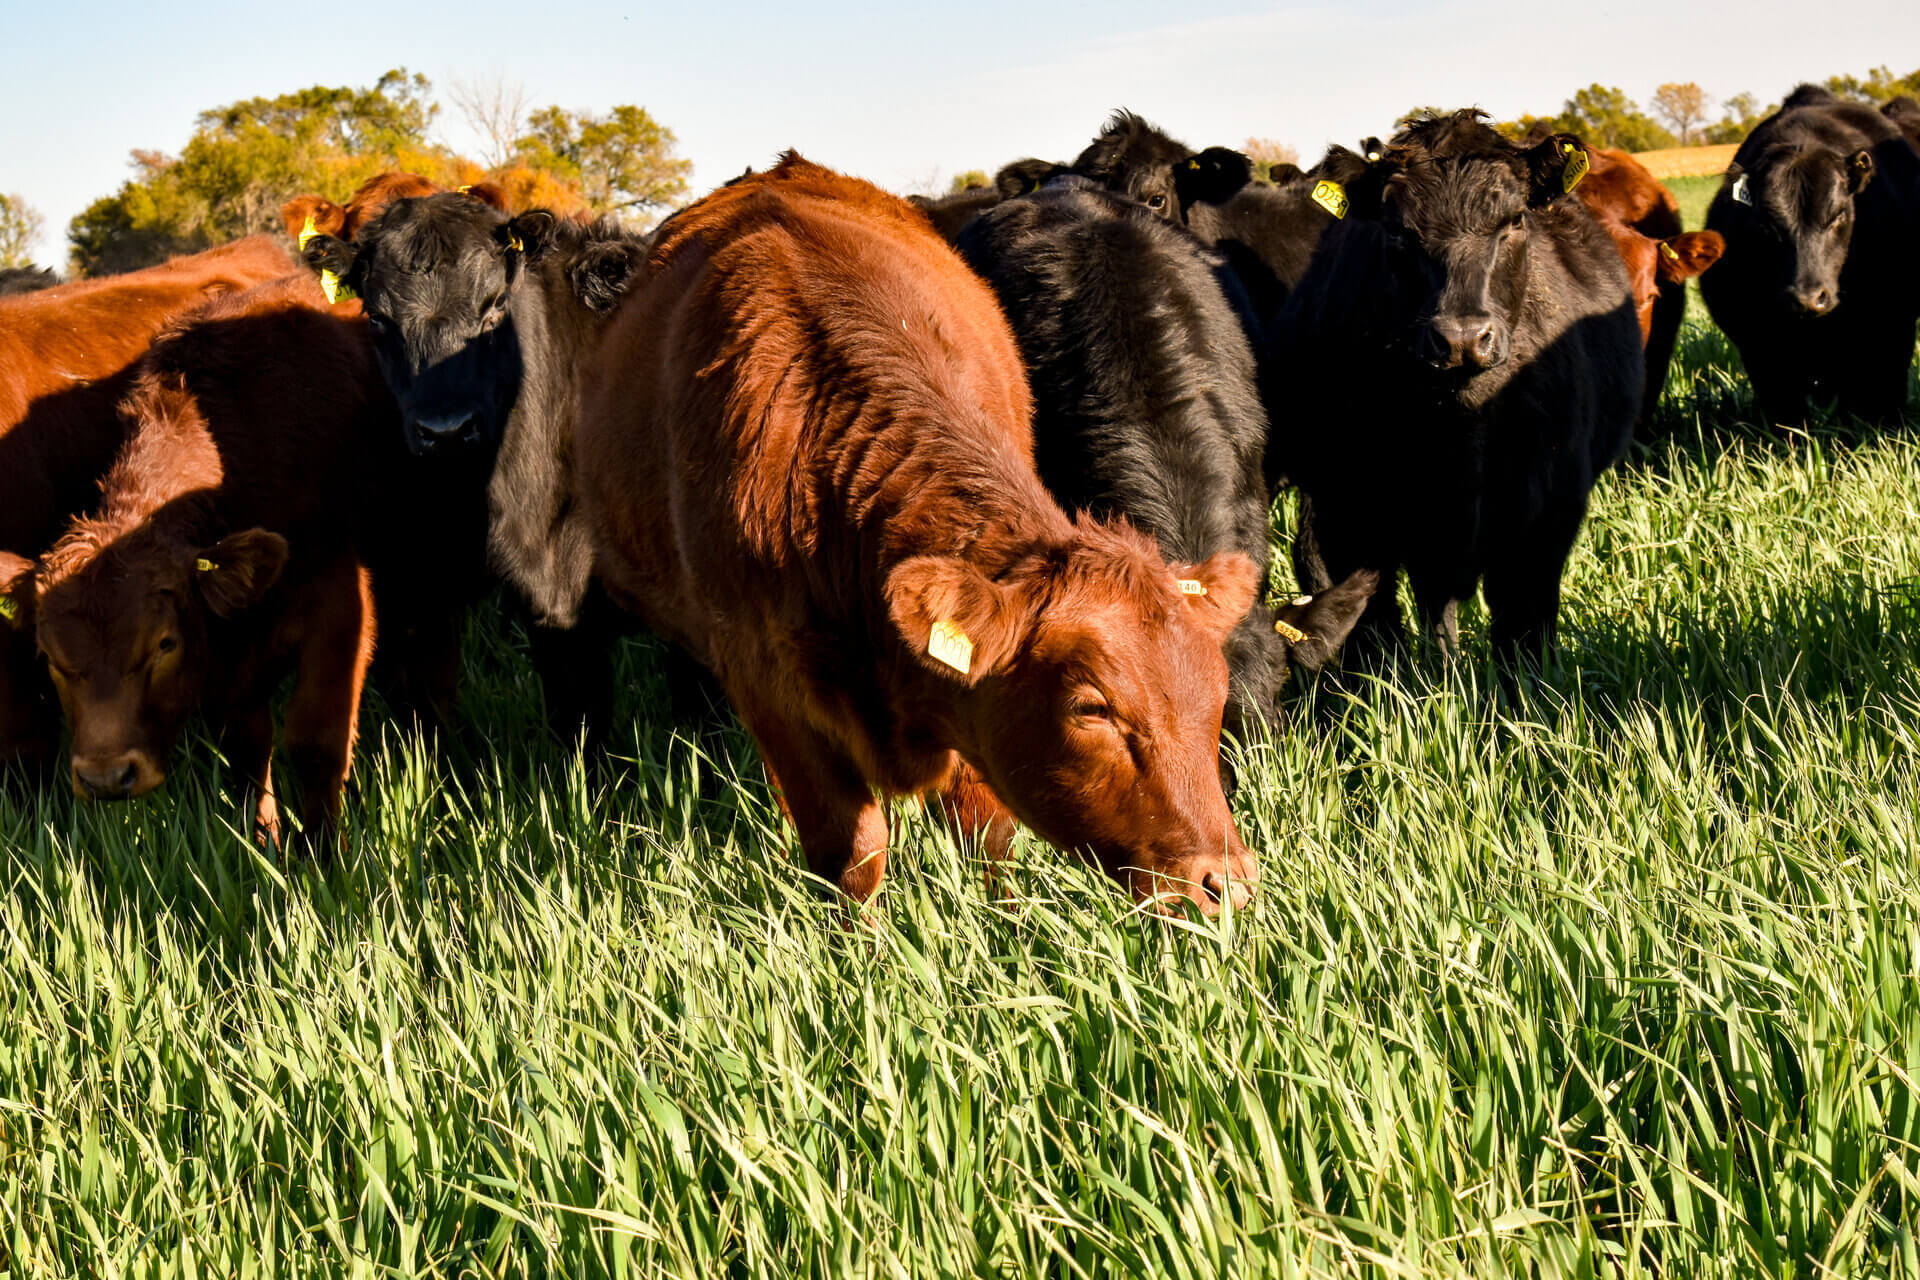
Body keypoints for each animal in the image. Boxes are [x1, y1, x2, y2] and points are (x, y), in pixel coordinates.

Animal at [20, 273, 411, 840]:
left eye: (164, 644)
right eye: (50, 659)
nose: (106, 776)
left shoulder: (339, 610)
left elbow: (316, 742)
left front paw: (320, 852)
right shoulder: (227, 656)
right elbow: (247, 748)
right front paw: (263, 839)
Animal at [575, 154, 1262, 915]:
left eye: (1216, 693)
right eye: (1092, 708)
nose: (1224, 881)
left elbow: (987, 832)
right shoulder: (765, 682)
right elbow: (851, 855)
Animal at [1269, 111, 1643, 664]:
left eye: (1515, 221)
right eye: (1397, 232)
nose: (1463, 338)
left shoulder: (1547, 516)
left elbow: (1523, 631)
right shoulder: (1347, 513)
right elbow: (1375, 633)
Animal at [1701, 84, 1920, 425]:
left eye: (1839, 214)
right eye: (1766, 223)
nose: (1806, 297)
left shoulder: (1892, 325)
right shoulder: (1756, 343)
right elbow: (1785, 413)